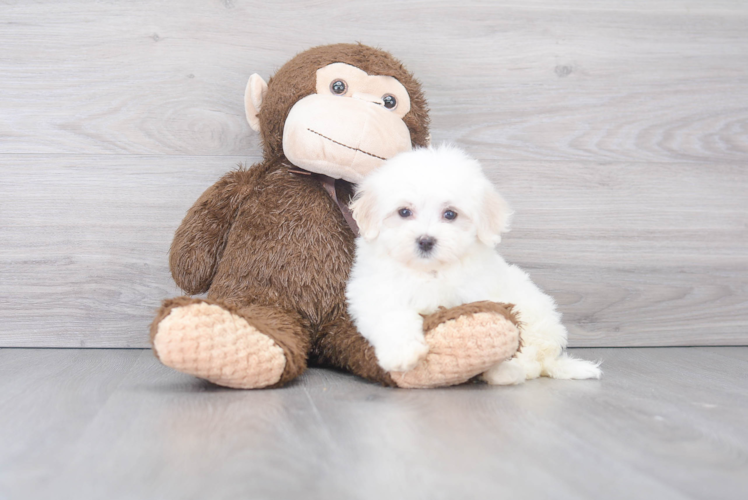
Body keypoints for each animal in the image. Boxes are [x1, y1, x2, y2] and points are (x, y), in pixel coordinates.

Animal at [346, 145, 600, 386]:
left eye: (450, 214)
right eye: (404, 212)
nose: (426, 241)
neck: (430, 272)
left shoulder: (480, 293)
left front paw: (497, 364)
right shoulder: (375, 293)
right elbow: (392, 316)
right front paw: (402, 354)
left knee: (531, 360)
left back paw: (508, 372)